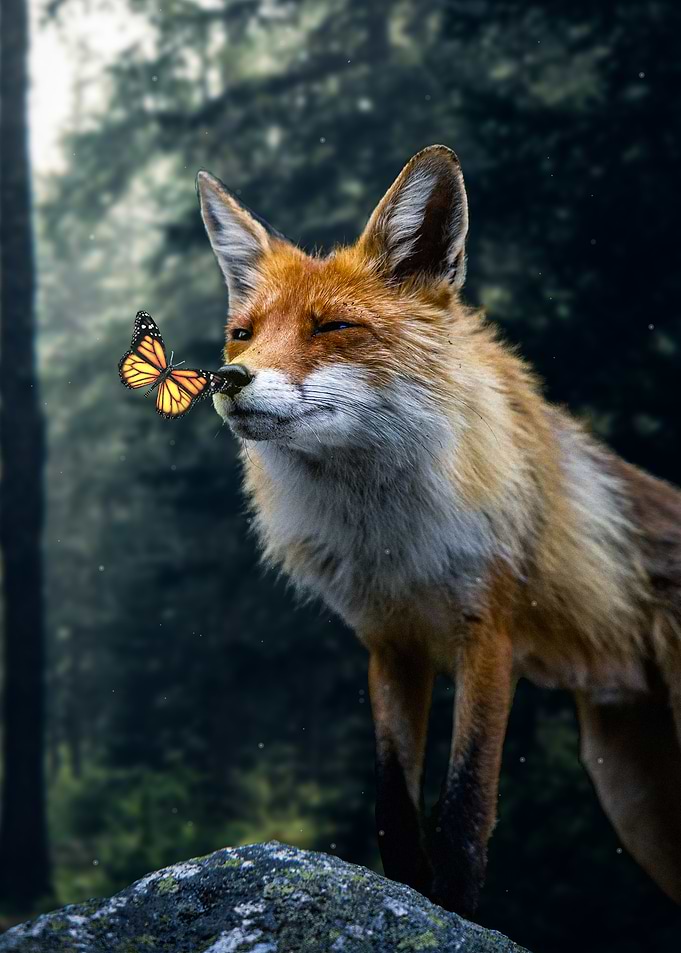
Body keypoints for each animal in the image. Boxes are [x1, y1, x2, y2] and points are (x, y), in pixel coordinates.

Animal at [196, 145, 681, 917]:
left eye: (332, 328)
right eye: (242, 333)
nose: (227, 377)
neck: (388, 537)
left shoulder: (488, 636)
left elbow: (464, 810)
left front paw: (451, 907)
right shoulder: (389, 644)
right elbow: (394, 808)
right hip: (632, 798)